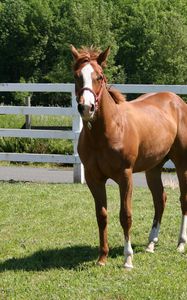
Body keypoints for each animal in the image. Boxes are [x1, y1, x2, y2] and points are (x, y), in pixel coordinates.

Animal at [70, 45, 187, 270]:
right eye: (77, 76)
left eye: (99, 76)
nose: (86, 107)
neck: (107, 130)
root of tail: (177, 101)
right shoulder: (93, 178)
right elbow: (101, 215)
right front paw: (102, 257)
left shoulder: (125, 176)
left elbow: (125, 216)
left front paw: (128, 259)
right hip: (153, 168)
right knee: (160, 200)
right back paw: (151, 243)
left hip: (182, 164)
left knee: (183, 199)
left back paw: (180, 243)